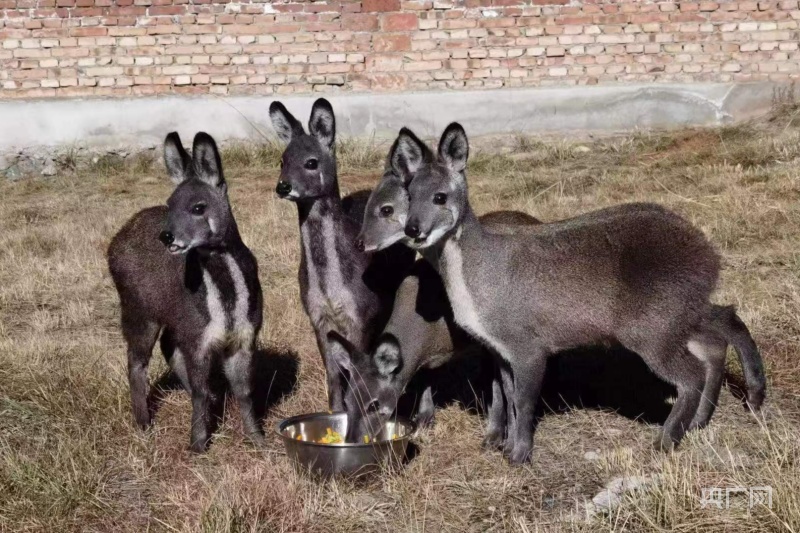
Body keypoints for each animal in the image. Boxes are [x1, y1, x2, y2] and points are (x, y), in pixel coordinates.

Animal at [108, 131, 264, 450]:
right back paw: (144, 424)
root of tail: (112, 246)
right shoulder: (197, 338)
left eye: (198, 207)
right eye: (170, 203)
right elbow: (201, 392)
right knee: (136, 362)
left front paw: (257, 438)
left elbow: (243, 391)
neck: (226, 305)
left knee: (168, 348)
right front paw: (198, 444)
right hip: (138, 312)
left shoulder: (243, 337)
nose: (168, 237)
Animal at [272, 97, 416, 410]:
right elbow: (333, 374)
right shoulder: (317, 316)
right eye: (282, 161)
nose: (283, 186)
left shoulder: (362, 314)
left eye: (311, 162)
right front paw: (335, 412)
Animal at [390, 123, 764, 462]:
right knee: (718, 333)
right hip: (676, 315)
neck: (480, 278)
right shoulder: (501, 349)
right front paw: (507, 448)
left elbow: (524, 400)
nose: (413, 230)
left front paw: (519, 455)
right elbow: (509, 396)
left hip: (652, 326)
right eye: (407, 194)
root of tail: (711, 257)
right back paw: (718, 412)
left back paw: (666, 440)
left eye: (440, 196)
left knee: (693, 371)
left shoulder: (528, 344)